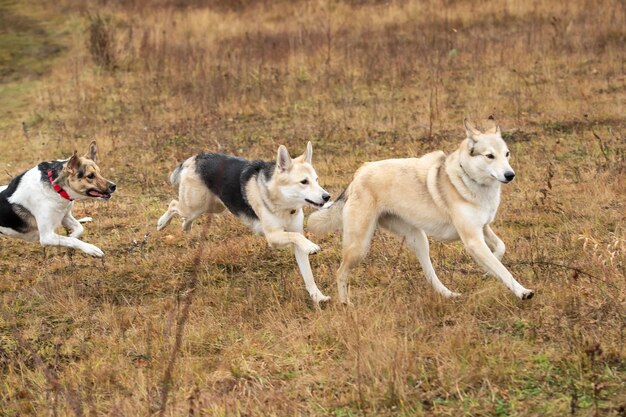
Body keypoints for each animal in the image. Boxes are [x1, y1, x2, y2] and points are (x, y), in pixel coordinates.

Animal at [156, 142, 332, 302]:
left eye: (316, 180)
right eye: (304, 182)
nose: (327, 197)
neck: (284, 203)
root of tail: (196, 157)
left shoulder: (296, 241)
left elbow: (308, 274)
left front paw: (317, 297)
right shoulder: (273, 237)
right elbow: (296, 237)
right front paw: (311, 246)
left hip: (213, 206)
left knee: (184, 215)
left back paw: (186, 226)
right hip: (195, 206)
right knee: (173, 204)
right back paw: (162, 223)